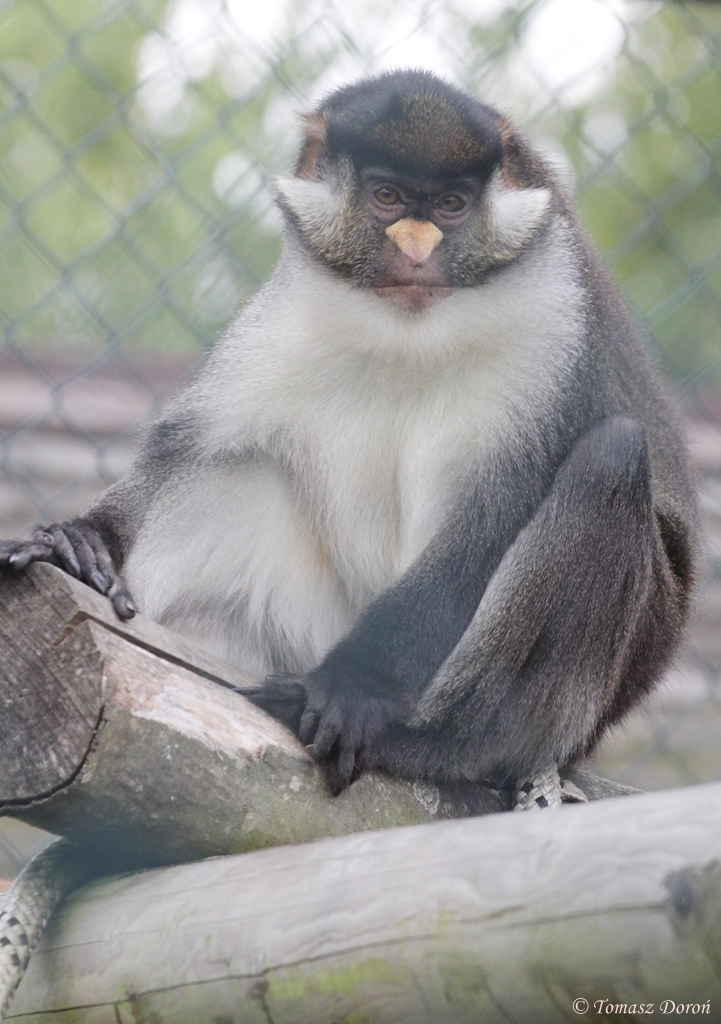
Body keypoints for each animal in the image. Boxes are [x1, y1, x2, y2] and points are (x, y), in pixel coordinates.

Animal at [0, 70, 697, 807]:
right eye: (386, 196)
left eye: (451, 205)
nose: (416, 247)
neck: (409, 331)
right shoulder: (285, 313)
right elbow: (190, 446)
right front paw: (79, 539)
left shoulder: (555, 327)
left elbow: (483, 527)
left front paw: (353, 693)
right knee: (241, 469)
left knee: (609, 458)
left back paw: (434, 743)